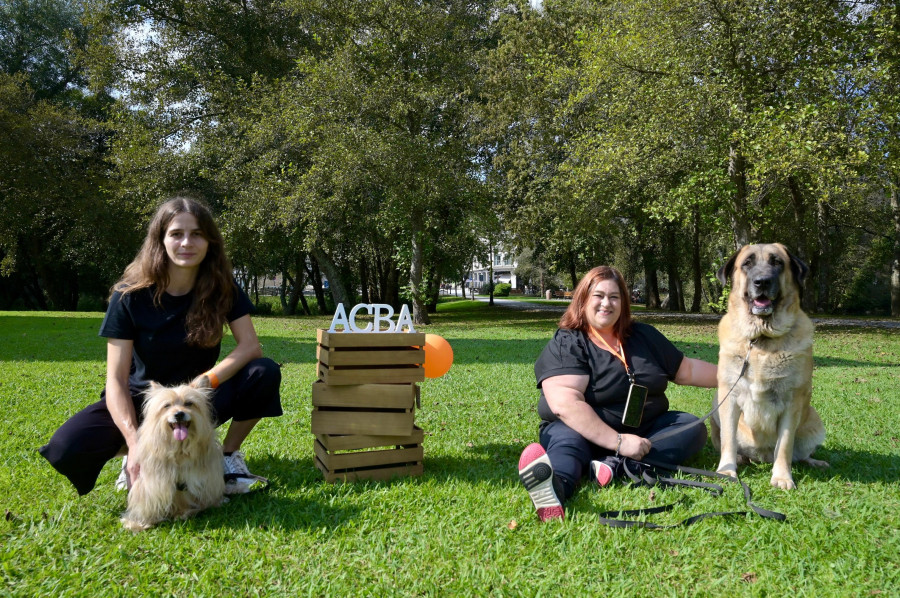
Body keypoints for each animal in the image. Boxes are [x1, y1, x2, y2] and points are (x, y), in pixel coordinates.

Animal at [121, 382, 225, 532]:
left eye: (189, 403)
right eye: (167, 405)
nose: (179, 414)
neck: (179, 447)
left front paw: (186, 512)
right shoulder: (153, 481)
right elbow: (146, 501)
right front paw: (140, 522)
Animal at [712, 245, 828, 492]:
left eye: (777, 262)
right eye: (747, 263)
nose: (762, 282)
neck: (760, 341)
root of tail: (762, 456)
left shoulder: (793, 401)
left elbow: (784, 445)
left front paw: (782, 477)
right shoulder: (728, 396)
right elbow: (728, 440)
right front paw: (726, 470)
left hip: (814, 418)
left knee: (799, 454)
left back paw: (814, 461)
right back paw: (741, 459)